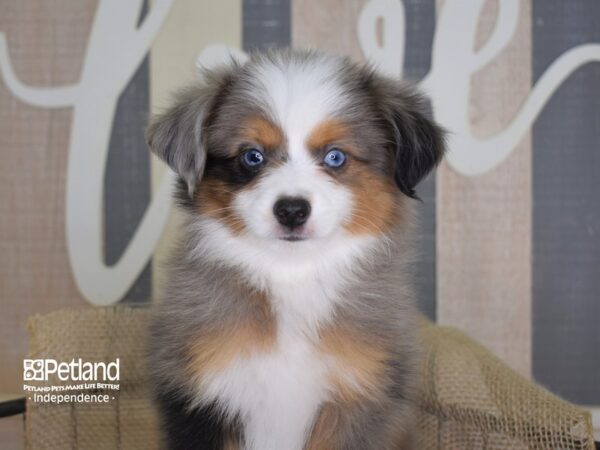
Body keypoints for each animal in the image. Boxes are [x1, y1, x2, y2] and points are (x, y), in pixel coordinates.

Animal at [146, 49, 446, 450]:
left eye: (335, 157)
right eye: (252, 156)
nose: (291, 210)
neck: (291, 276)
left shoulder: (358, 403)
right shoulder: (202, 400)